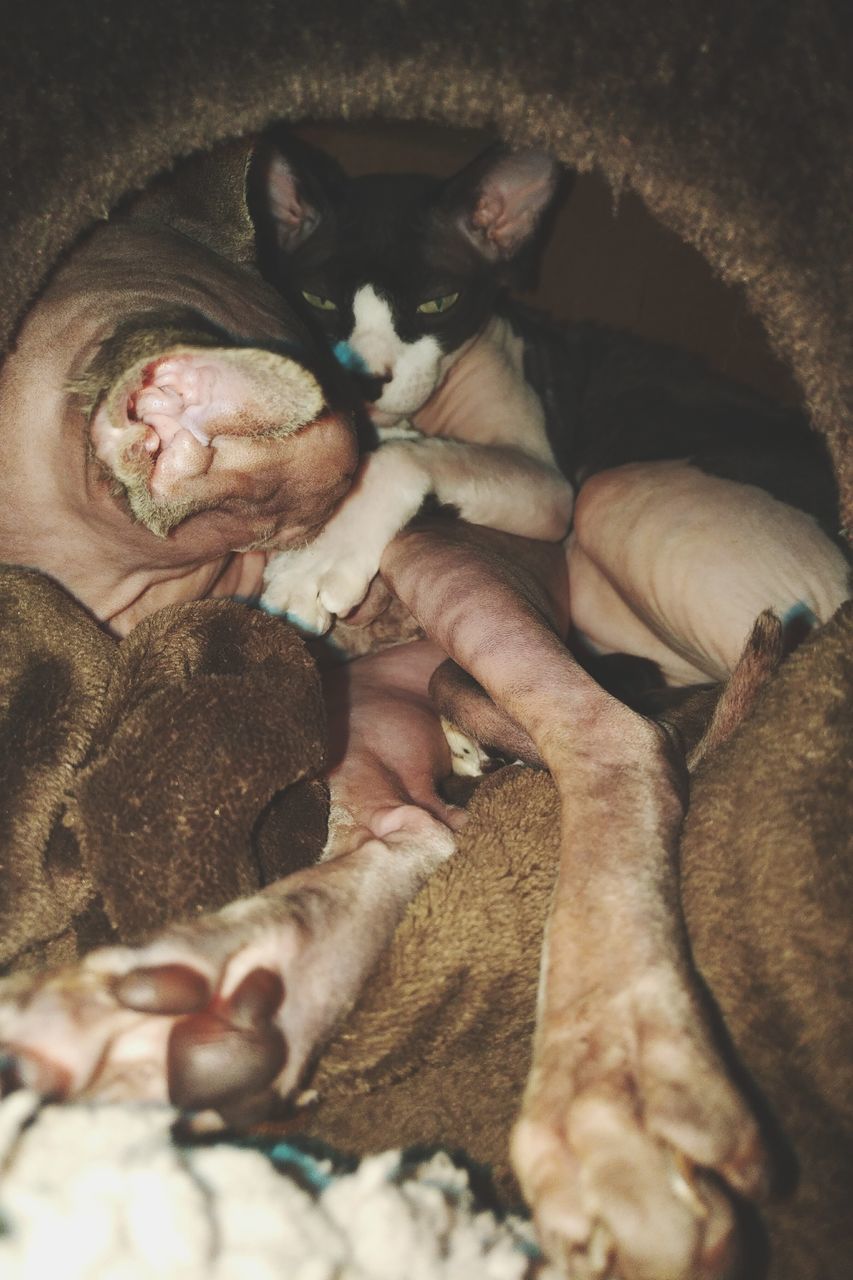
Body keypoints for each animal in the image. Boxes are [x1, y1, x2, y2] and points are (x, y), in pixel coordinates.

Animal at [252, 136, 571, 634]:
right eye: (317, 300)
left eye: (437, 303)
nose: (361, 379)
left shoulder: (550, 485)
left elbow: (398, 457)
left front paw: (312, 564)